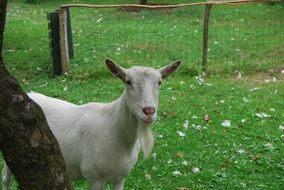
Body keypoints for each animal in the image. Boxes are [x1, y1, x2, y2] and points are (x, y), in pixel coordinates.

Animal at [1, 58, 181, 189]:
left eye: (159, 82)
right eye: (127, 81)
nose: (149, 111)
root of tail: (29, 94)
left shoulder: (120, 178)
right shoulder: (95, 178)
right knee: (5, 177)